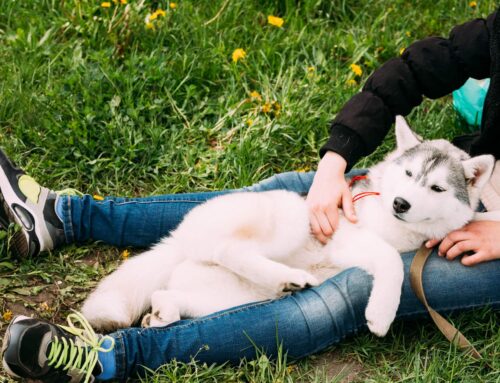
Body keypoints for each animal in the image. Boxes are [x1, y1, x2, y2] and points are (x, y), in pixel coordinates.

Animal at [81, 116, 492, 336]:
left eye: (437, 188)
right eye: (408, 174)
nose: (400, 203)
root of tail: (179, 239)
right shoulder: (346, 236)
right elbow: (391, 260)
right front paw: (381, 314)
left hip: (227, 296)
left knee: (169, 294)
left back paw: (165, 312)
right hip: (291, 218)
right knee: (229, 249)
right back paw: (286, 277)